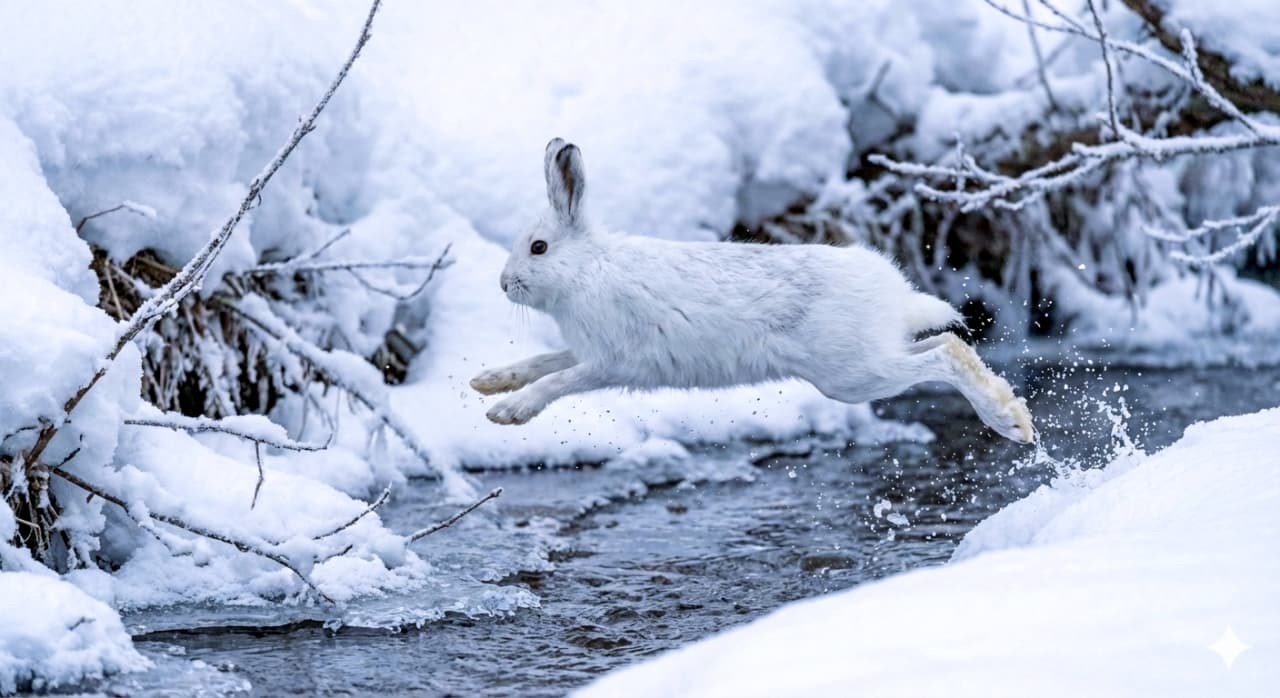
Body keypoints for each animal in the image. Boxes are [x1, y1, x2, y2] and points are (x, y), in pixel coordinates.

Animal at [470, 138, 1034, 443]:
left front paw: (507, 413)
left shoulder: (614, 360)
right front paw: (488, 382)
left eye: (539, 248)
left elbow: (558, 380)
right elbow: (544, 360)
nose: (503, 284)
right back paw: (1011, 412)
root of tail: (893, 295)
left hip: (852, 375)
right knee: (949, 343)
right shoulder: (584, 349)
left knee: (944, 358)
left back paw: (1009, 423)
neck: (588, 268)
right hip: (870, 360)